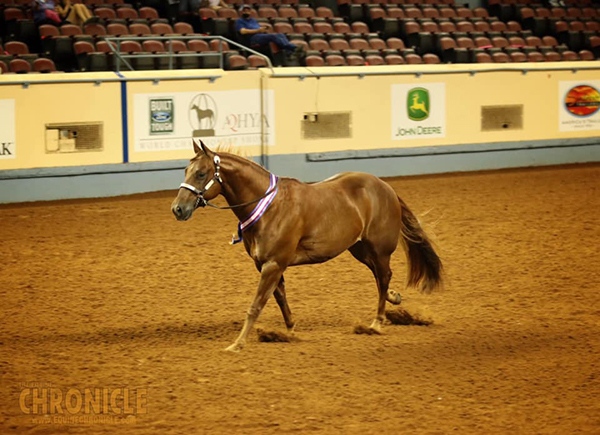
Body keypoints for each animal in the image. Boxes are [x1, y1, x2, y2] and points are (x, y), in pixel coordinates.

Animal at [169, 141, 440, 352]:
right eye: (186, 170)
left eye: (201, 173)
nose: (178, 209)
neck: (269, 208)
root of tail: (386, 188)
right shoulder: (267, 266)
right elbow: (280, 299)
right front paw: (290, 332)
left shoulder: (273, 265)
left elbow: (256, 305)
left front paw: (237, 344)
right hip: (360, 249)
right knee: (380, 277)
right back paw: (394, 298)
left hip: (379, 249)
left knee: (383, 277)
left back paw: (376, 322)